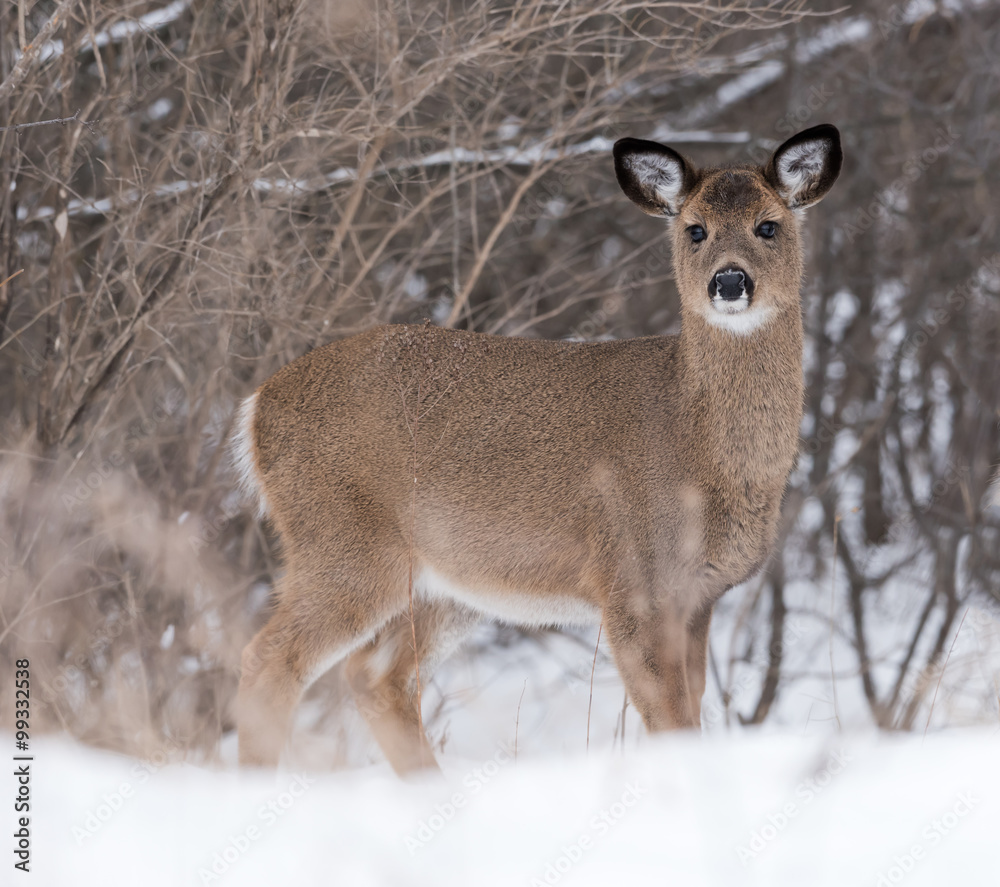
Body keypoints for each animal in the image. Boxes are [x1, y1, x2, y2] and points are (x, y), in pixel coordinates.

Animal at [232, 124, 842, 772]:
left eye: (769, 225)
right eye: (694, 229)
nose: (729, 281)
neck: (697, 443)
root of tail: (257, 406)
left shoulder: (698, 598)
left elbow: (690, 712)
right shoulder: (632, 584)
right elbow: (672, 724)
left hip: (445, 582)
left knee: (372, 675)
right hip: (341, 541)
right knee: (270, 661)